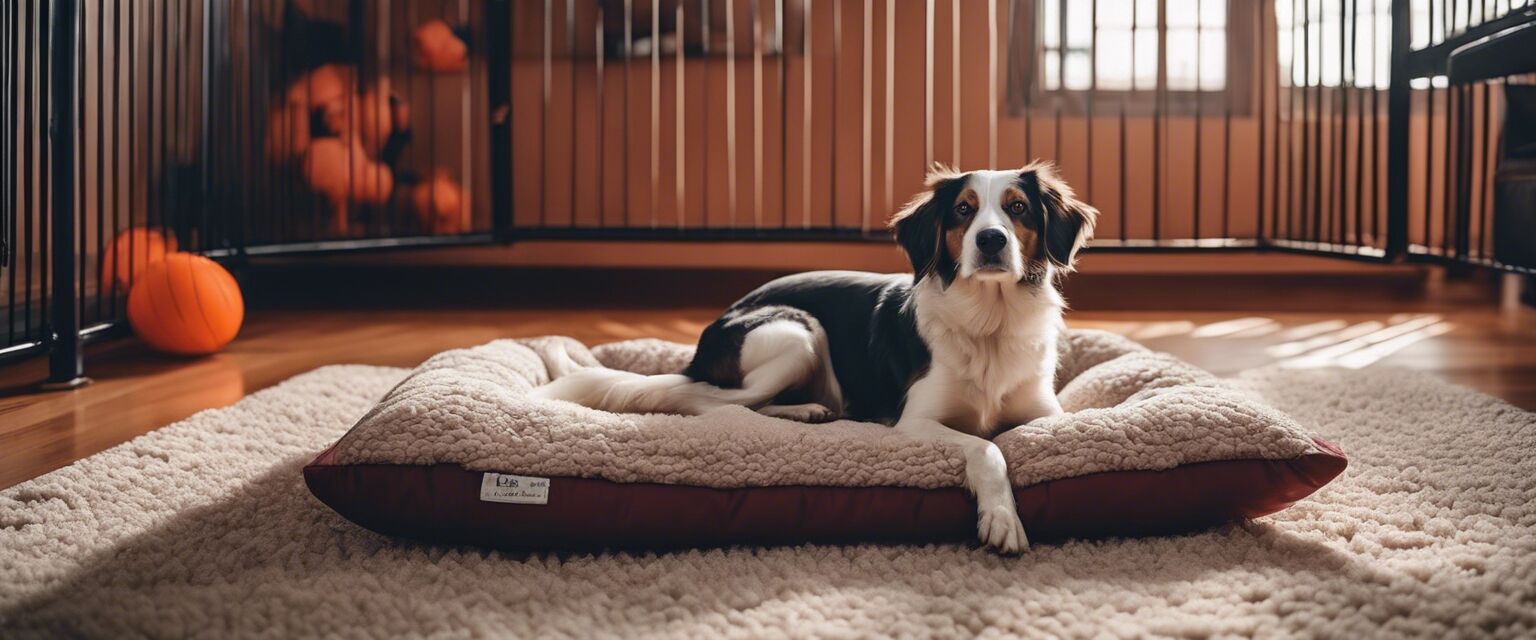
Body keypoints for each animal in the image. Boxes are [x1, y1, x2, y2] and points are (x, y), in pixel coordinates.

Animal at [534, 161, 1099, 552]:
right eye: (963, 209)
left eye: (1017, 208)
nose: (990, 239)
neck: (990, 321)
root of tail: (712, 331)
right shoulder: (914, 421)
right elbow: (987, 448)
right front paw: (1001, 518)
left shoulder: (1045, 413)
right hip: (797, 333)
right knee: (717, 403)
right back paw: (802, 409)